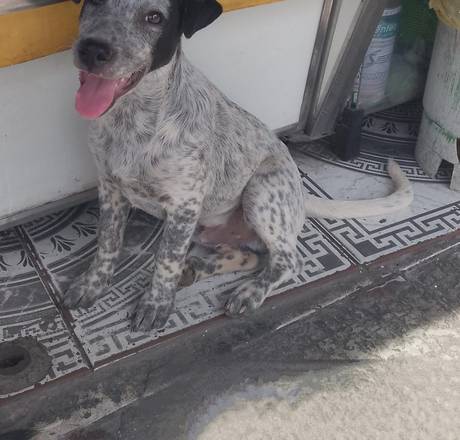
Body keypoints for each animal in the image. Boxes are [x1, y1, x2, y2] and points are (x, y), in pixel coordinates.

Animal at [65, 0, 413, 332]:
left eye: (154, 17)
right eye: (95, 1)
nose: (92, 50)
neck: (133, 120)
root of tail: (301, 197)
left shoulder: (185, 204)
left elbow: (166, 258)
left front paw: (156, 303)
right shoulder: (110, 188)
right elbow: (107, 242)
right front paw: (92, 284)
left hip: (260, 194)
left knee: (289, 261)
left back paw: (249, 291)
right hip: (206, 229)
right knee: (249, 257)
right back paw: (199, 268)